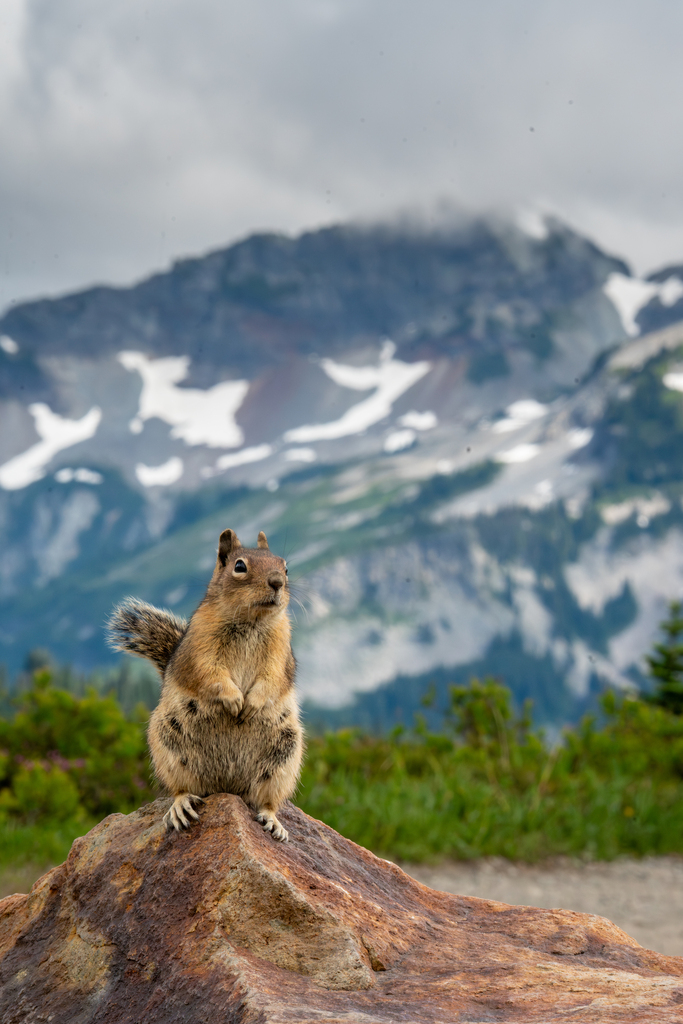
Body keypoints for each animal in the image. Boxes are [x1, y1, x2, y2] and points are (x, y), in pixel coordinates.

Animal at [108, 528, 303, 839]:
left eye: (285, 567)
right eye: (239, 566)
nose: (277, 582)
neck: (252, 621)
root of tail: (227, 786)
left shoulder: (280, 651)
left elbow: (272, 678)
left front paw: (252, 704)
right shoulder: (201, 645)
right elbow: (210, 673)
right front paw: (234, 700)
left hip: (283, 759)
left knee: (266, 800)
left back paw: (273, 821)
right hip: (169, 747)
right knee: (181, 788)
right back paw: (181, 805)